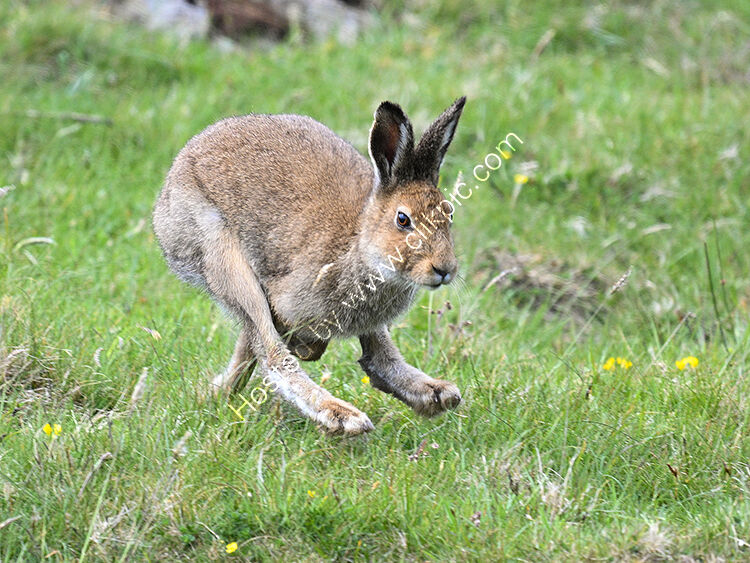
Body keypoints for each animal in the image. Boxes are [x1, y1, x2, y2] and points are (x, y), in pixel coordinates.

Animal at [152, 96, 466, 435]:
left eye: (449, 214)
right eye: (403, 219)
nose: (444, 269)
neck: (360, 243)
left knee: (375, 358)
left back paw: (436, 393)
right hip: (222, 259)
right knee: (272, 354)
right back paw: (341, 415)